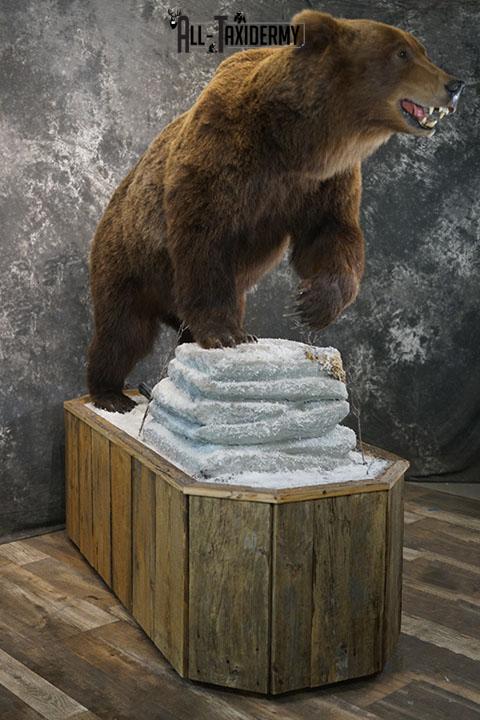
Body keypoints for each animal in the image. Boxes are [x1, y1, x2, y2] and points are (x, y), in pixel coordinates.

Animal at [87, 9, 464, 412]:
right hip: (128, 259)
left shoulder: (324, 183)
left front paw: (313, 303)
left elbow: (331, 234)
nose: (455, 84)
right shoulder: (221, 156)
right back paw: (111, 393)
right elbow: (204, 236)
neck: (297, 141)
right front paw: (225, 334)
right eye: (402, 53)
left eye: (422, 50)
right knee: (123, 331)